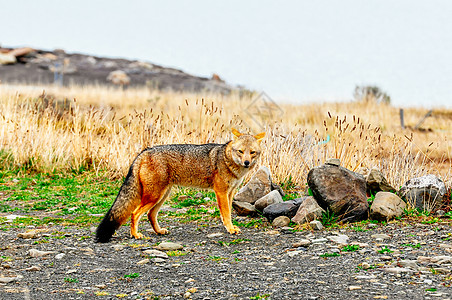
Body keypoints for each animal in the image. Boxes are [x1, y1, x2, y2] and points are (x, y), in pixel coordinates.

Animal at [95, 127, 264, 243]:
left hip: (162, 196)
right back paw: (135, 235)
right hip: (154, 196)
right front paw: (230, 229)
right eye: (240, 151)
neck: (227, 160)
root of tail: (144, 152)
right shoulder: (221, 192)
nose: (246, 162)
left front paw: (231, 227)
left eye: (252, 152)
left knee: (150, 214)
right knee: (134, 213)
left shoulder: (230, 192)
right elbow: (227, 214)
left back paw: (158, 231)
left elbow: (227, 212)